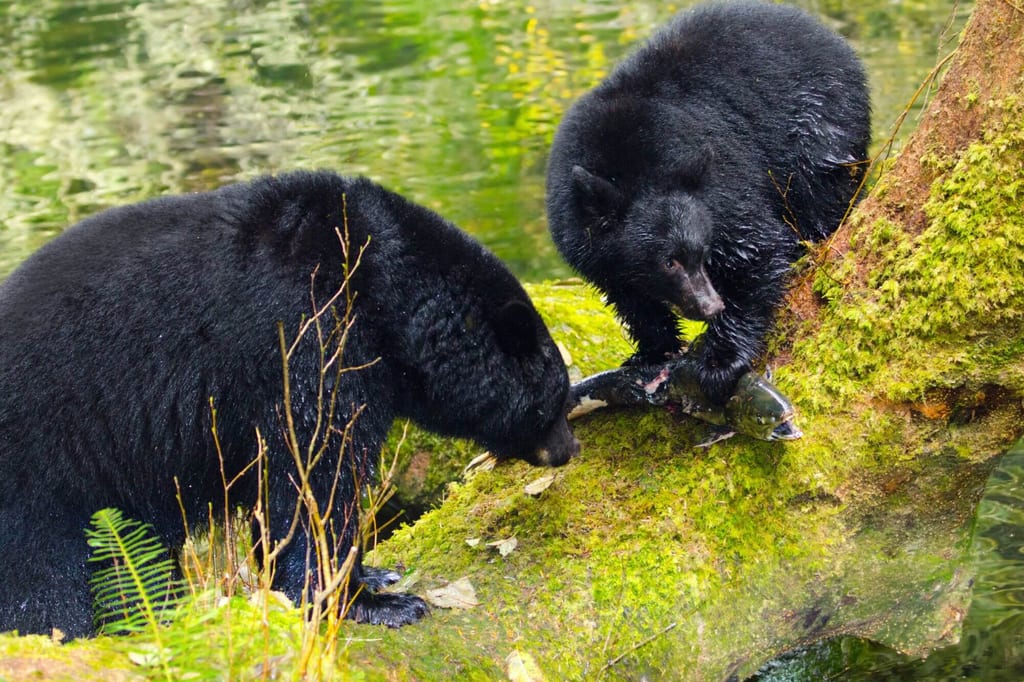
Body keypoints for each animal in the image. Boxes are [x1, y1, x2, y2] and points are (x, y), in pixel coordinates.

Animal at [0, 170, 579, 638]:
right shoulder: (307, 338)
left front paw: (372, 574)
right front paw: (373, 602)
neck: (372, 280)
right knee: (46, 584)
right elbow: (312, 474)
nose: (570, 448)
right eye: (553, 398)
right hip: (47, 466)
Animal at [546, 0, 871, 404]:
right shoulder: (585, 238)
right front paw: (651, 354)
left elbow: (755, 249)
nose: (710, 304)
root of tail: (836, 42)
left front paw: (720, 360)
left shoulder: (721, 187)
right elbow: (629, 296)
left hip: (821, 131)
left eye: (701, 252)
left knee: (821, 198)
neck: (627, 165)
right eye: (668, 261)